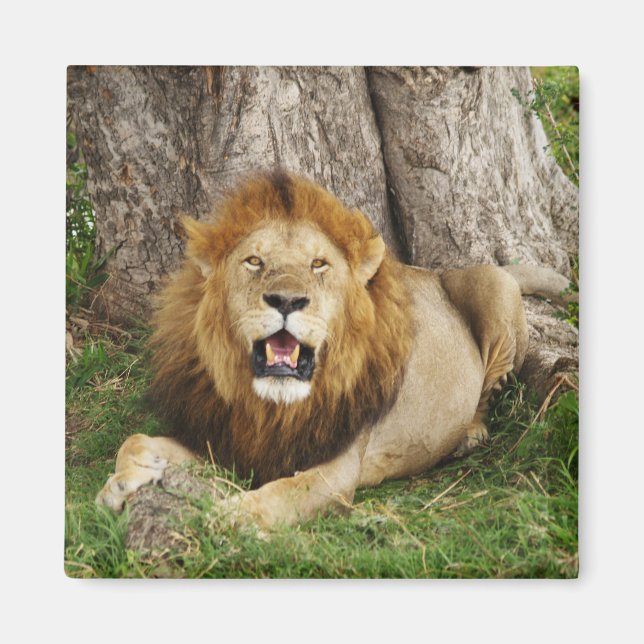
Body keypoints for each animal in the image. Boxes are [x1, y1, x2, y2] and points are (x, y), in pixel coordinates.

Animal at [96, 170, 570, 528]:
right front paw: (121, 483)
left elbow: (280, 494)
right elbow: (136, 439)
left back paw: (470, 433)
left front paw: (228, 516)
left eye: (318, 264)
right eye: (254, 261)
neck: (272, 407)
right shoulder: (226, 442)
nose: (287, 300)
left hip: (495, 286)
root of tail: (439, 273)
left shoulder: (336, 472)